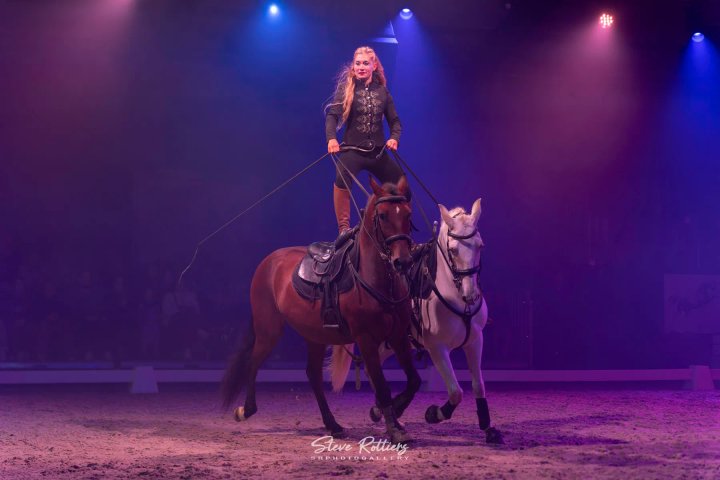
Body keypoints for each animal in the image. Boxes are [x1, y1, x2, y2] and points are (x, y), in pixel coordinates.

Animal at [221, 177, 422, 444]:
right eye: (383, 215)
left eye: (408, 214)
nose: (403, 261)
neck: (376, 279)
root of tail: (270, 261)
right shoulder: (366, 339)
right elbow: (381, 385)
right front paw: (393, 427)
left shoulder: (398, 336)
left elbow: (413, 381)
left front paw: (389, 413)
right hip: (268, 329)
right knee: (254, 361)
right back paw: (247, 409)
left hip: (315, 335)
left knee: (313, 375)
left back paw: (333, 424)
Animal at [331, 199, 503, 444]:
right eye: (453, 250)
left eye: (481, 245)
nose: (471, 295)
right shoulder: (437, 348)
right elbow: (456, 392)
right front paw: (434, 414)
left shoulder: (474, 341)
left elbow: (478, 385)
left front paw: (488, 428)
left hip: (390, 343)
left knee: (373, 368)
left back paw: (383, 411)